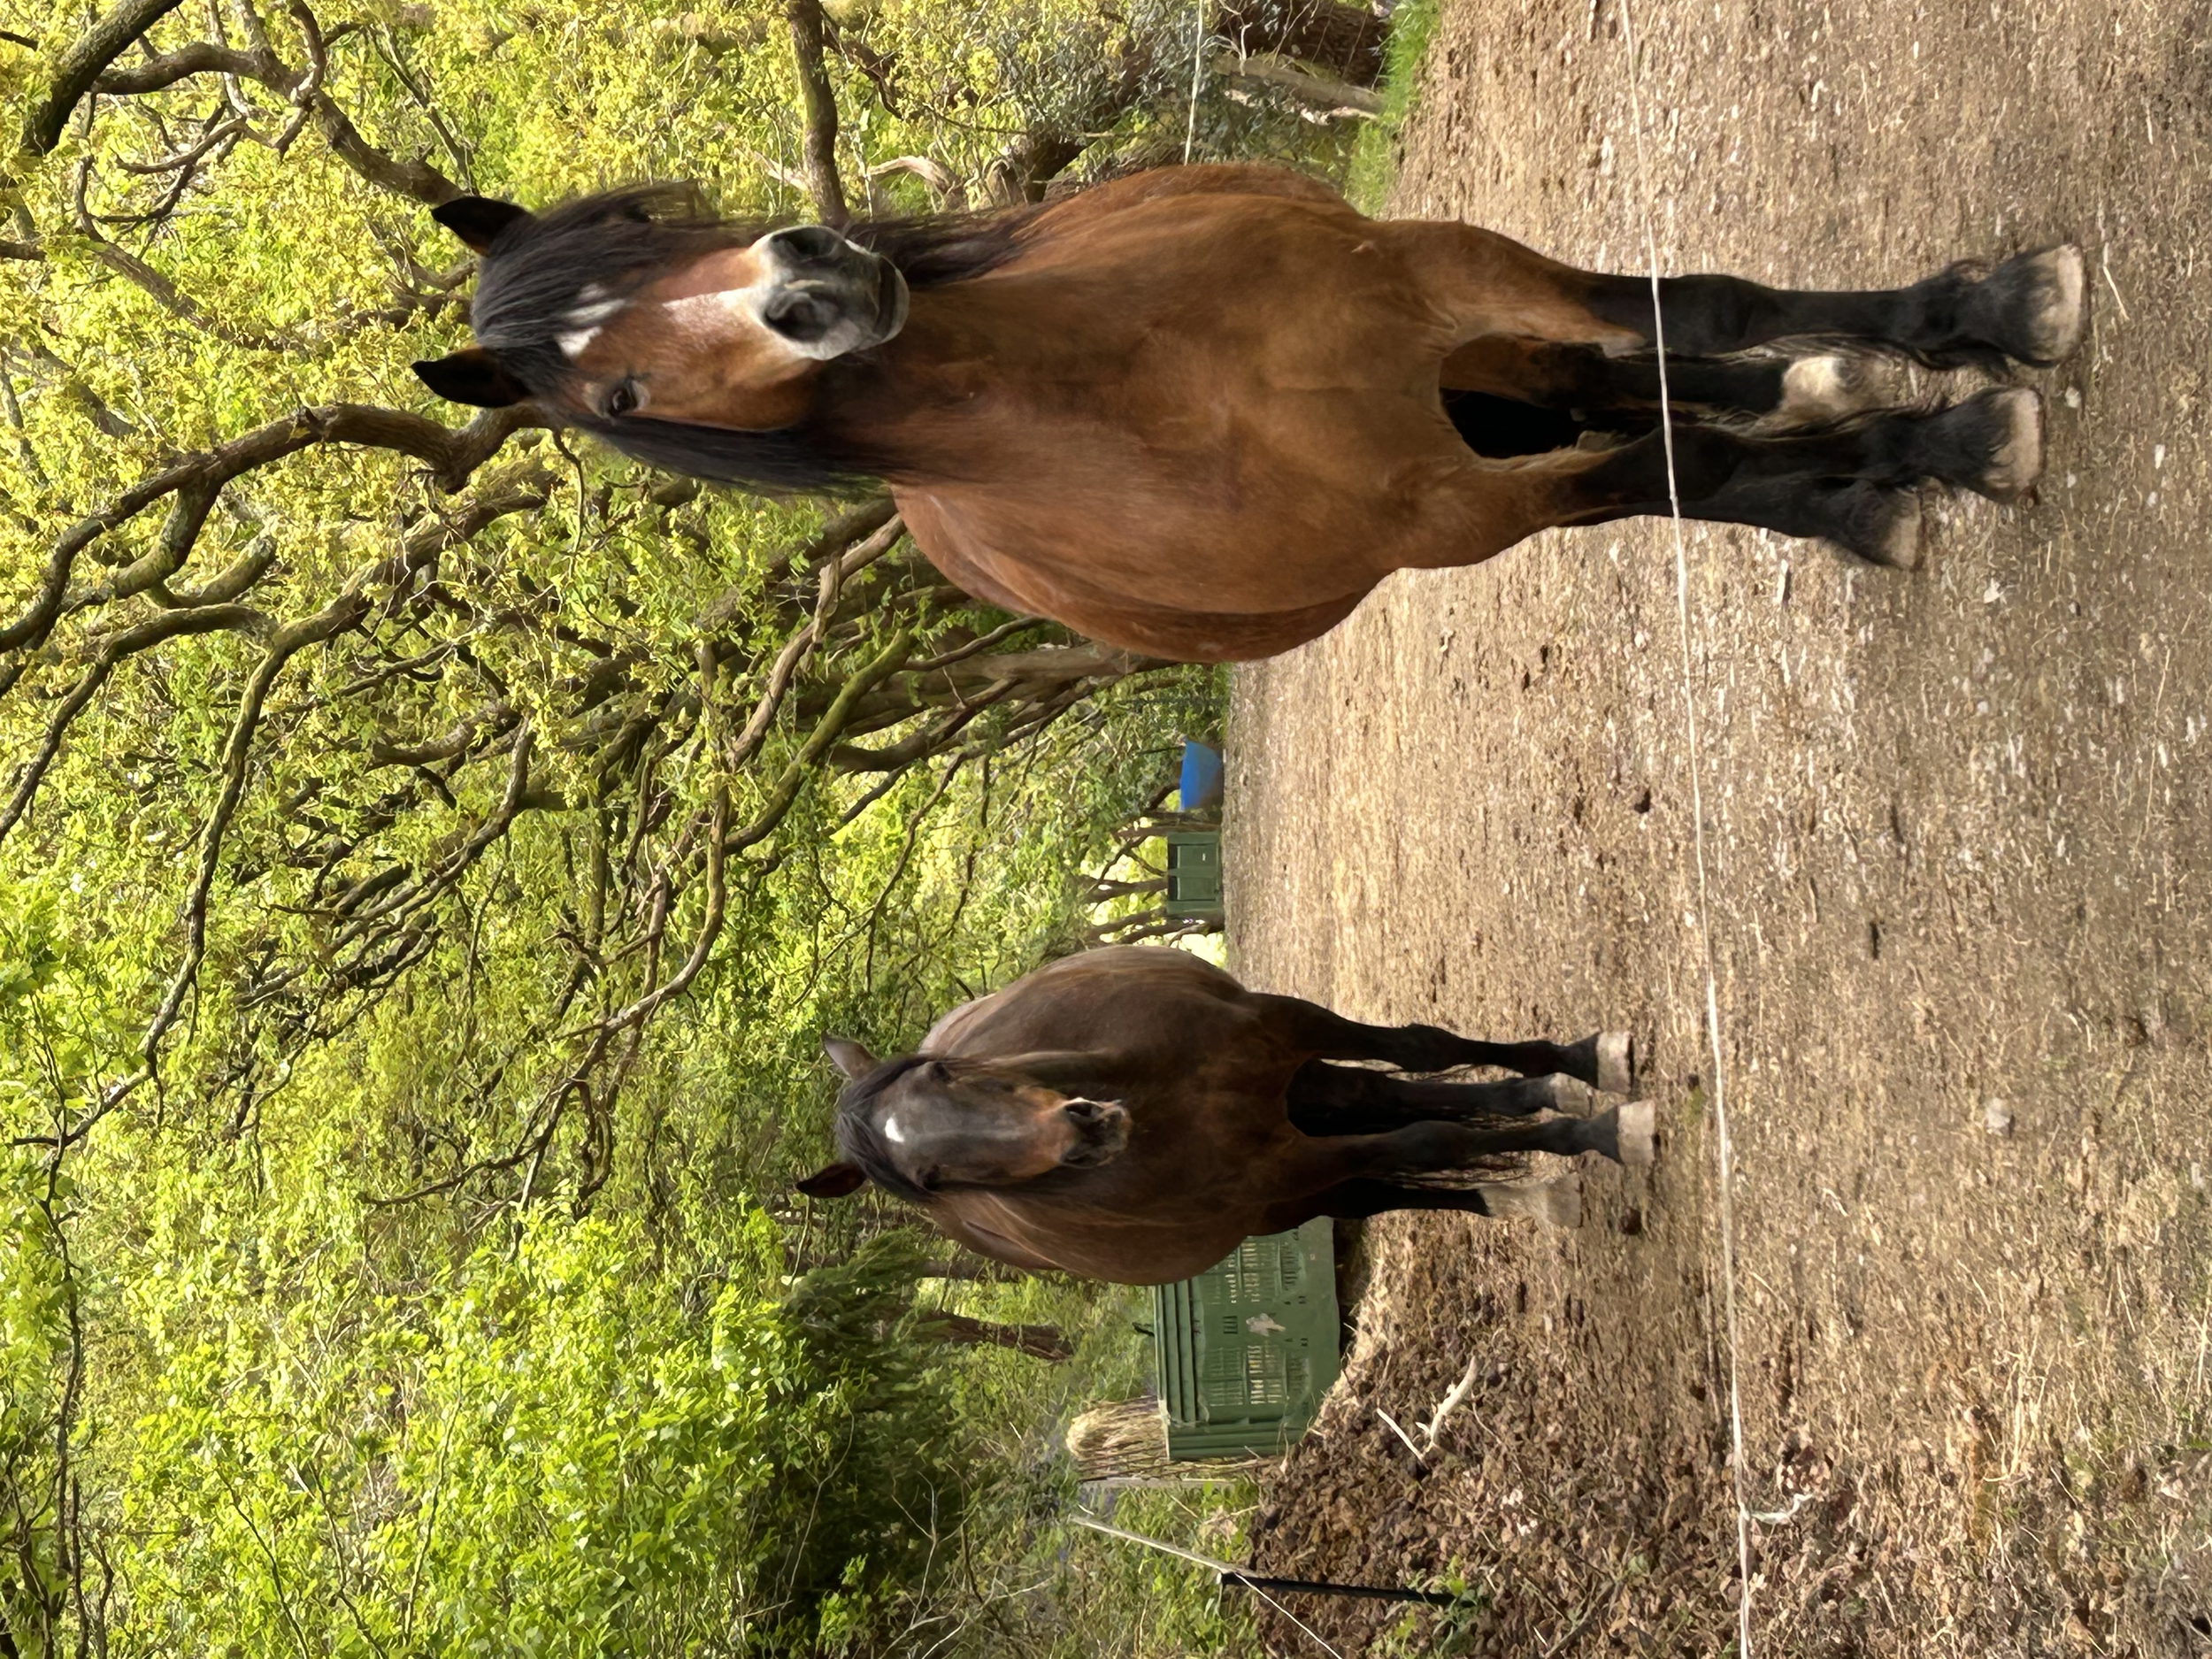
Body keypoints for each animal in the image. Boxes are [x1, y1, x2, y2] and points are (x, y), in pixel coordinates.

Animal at [410, 165, 2086, 663]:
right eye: (614, 393)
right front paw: (1920, 461)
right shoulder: (1465, 509)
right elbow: (1678, 471)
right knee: (1643, 420)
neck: (1156, 387)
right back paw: (1857, 448)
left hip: (1465, 355)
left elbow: (1700, 310)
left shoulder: (1450, 276)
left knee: (1632, 373)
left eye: (639, 228)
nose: (809, 283)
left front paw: (1992, 320)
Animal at [790, 945, 1653, 1285]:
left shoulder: (1287, 1027)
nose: (1085, 1130)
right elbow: (1425, 1139)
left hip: (1300, 1088)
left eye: (942, 1068)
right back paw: (1527, 1184)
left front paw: (1584, 1066)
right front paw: (1593, 1136)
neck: (1161, 1101)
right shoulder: (1282, 1166)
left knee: (1396, 1095)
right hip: (1291, 1180)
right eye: (931, 1178)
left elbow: (1423, 1047)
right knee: (1383, 1170)